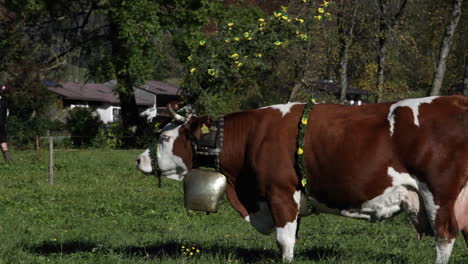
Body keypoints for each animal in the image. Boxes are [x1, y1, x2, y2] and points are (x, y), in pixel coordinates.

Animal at [136, 95, 468, 264]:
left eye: (164, 137)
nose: (138, 160)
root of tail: (454, 99)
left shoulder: (280, 192)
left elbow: (284, 241)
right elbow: (292, 237)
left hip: (439, 193)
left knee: (445, 235)